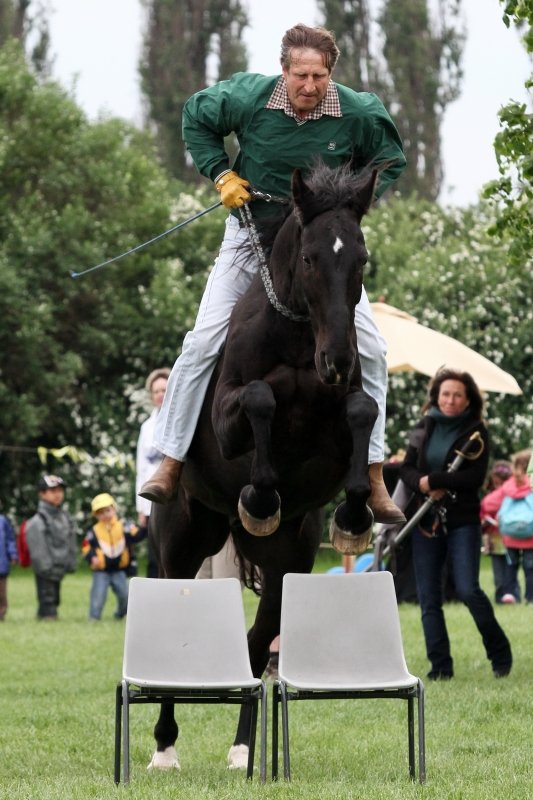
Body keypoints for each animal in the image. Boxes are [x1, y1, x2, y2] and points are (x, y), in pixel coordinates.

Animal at [149, 161, 382, 768]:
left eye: (361, 258)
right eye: (311, 257)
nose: (338, 359)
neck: (301, 338)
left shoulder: (341, 416)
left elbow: (362, 409)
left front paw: (354, 514)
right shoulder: (232, 413)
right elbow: (259, 398)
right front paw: (258, 496)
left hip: (287, 562)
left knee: (257, 643)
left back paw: (242, 751)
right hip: (181, 543)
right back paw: (164, 748)